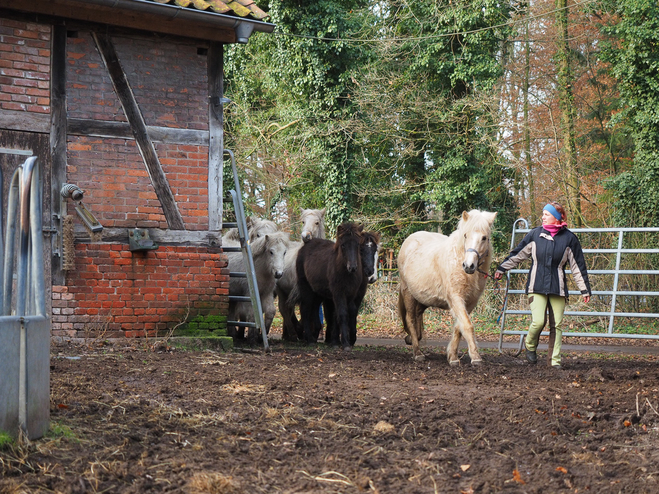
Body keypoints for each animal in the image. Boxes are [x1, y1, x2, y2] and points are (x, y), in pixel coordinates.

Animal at [296, 222, 364, 350]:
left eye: (357, 244)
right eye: (343, 245)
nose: (352, 267)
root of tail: (305, 245)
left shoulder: (349, 295)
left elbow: (340, 315)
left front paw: (336, 341)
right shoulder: (338, 294)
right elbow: (342, 314)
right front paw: (345, 343)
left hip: (317, 293)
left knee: (314, 308)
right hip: (306, 289)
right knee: (305, 309)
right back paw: (309, 339)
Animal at [398, 210, 496, 364]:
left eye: (484, 238)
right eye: (465, 235)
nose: (469, 266)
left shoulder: (470, 303)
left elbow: (459, 328)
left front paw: (453, 357)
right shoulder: (456, 298)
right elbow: (467, 325)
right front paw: (475, 357)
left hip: (423, 298)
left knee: (418, 315)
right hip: (408, 293)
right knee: (411, 319)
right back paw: (418, 353)